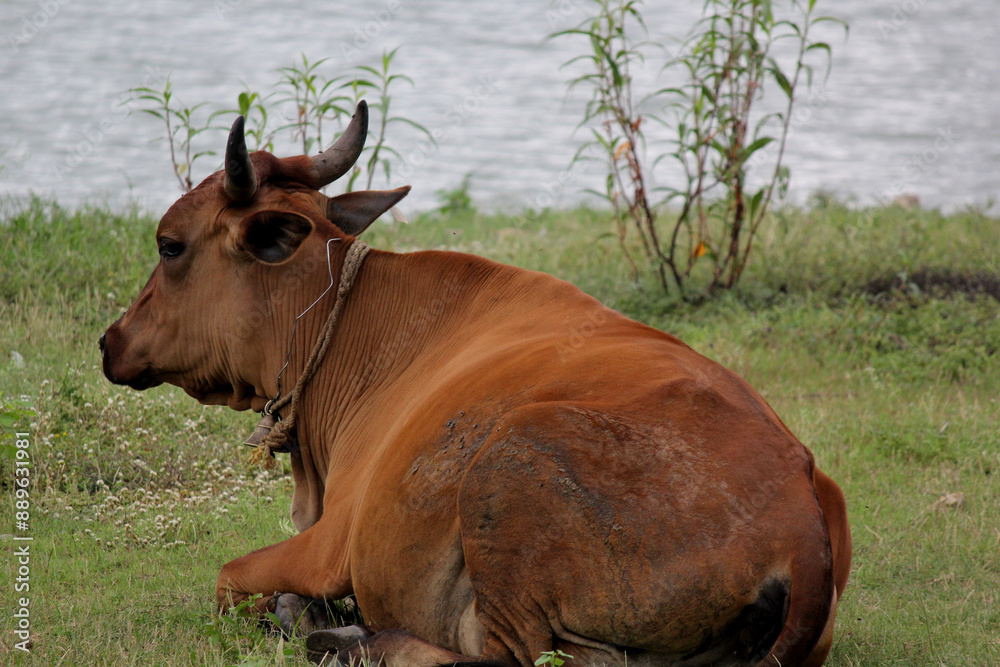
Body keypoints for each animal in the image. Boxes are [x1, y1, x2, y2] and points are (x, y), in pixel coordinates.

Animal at [100, 101, 851, 667]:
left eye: (169, 245)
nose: (110, 342)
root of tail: (802, 515)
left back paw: (346, 637)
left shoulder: (328, 542)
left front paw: (296, 609)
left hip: (512, 464)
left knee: (510, 657)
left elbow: (227, 579)